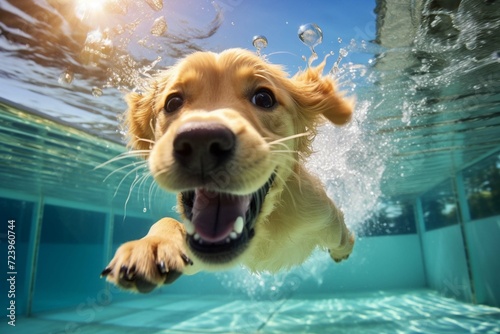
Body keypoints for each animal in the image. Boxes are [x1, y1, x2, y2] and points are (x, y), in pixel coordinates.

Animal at [99, 47, 354, 292]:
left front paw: (344, 249)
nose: (201, 141)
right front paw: (150, 245)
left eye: (264, 98)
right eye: (173, 102)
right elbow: (167, 222)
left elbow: (343, 234)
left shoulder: (324, 215)